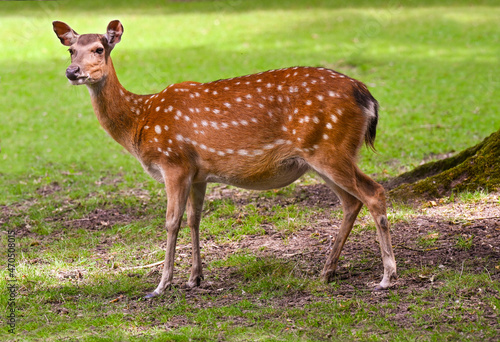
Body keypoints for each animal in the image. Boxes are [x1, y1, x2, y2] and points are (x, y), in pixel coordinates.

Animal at [52, 20, 396, 298]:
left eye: (99, 48)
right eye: (70, 50)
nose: (72, 72)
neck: (140, 121)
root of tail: (367, 96)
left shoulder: (174, 161)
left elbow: (171, 221)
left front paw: (161, 285)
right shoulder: (198, 173)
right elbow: (195, 218)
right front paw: (195, 278)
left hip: (330, 148)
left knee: (374, 192)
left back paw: (386, 277)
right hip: (321, 157)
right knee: (351, 201)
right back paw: (327, 271)